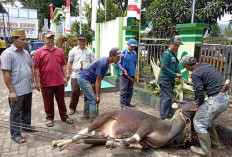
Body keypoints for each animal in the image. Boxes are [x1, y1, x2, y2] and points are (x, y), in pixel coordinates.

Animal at [52, 102, 196, 151]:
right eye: (193, 103)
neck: (168, 129)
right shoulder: (146, 124)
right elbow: (133, 138)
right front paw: (118, 143)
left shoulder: (147, 143)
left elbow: (136, 144)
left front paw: (115, 144)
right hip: (101, 118)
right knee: (82, 131)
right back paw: (60, 143)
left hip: (101, 134)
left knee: (85, 138)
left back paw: (59, 142)